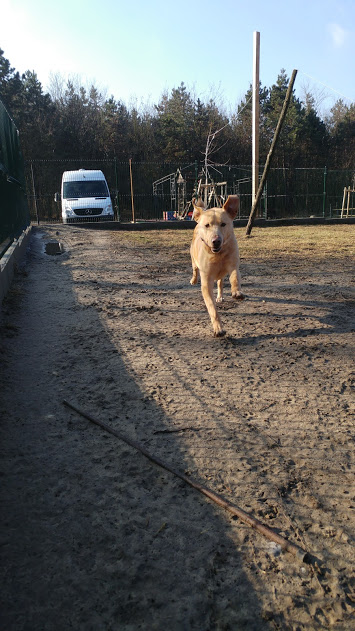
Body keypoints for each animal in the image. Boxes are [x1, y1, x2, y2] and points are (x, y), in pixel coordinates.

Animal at [192, 196, 245, 336]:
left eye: (223, 224)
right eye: (207, 225)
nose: (216, 241)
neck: (217, 255)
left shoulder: (233, 265)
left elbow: (234, 278)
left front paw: (237, 292)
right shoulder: (206, 282)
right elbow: (212, 308)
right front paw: (218, 328)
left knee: (220, 282)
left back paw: (220, 296)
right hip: (193, 257)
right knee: (194, 268)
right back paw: (193, 279)